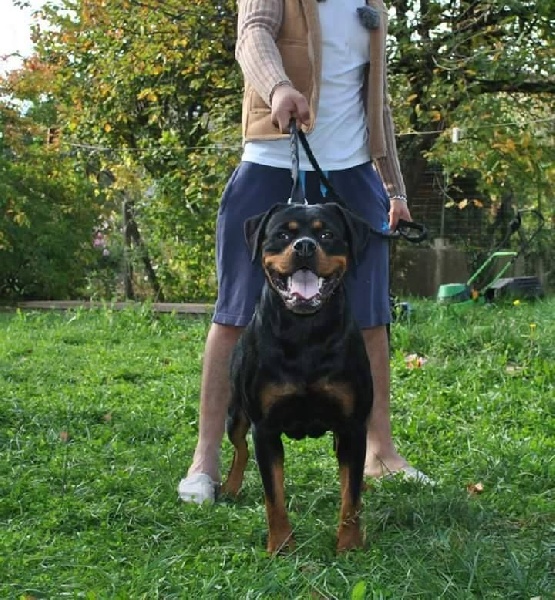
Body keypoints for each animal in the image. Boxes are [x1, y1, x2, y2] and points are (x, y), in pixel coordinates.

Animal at [221, 201, 375, 553]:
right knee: (240, 448)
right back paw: (229, 487)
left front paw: (349, 544)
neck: (305, 332)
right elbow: (273, 496)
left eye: (327, 234)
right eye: (282, 235)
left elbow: (350, 494)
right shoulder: (265, 428)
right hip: (235, 414)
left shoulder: (353, 425)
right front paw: (280, 545)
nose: (304, 246)